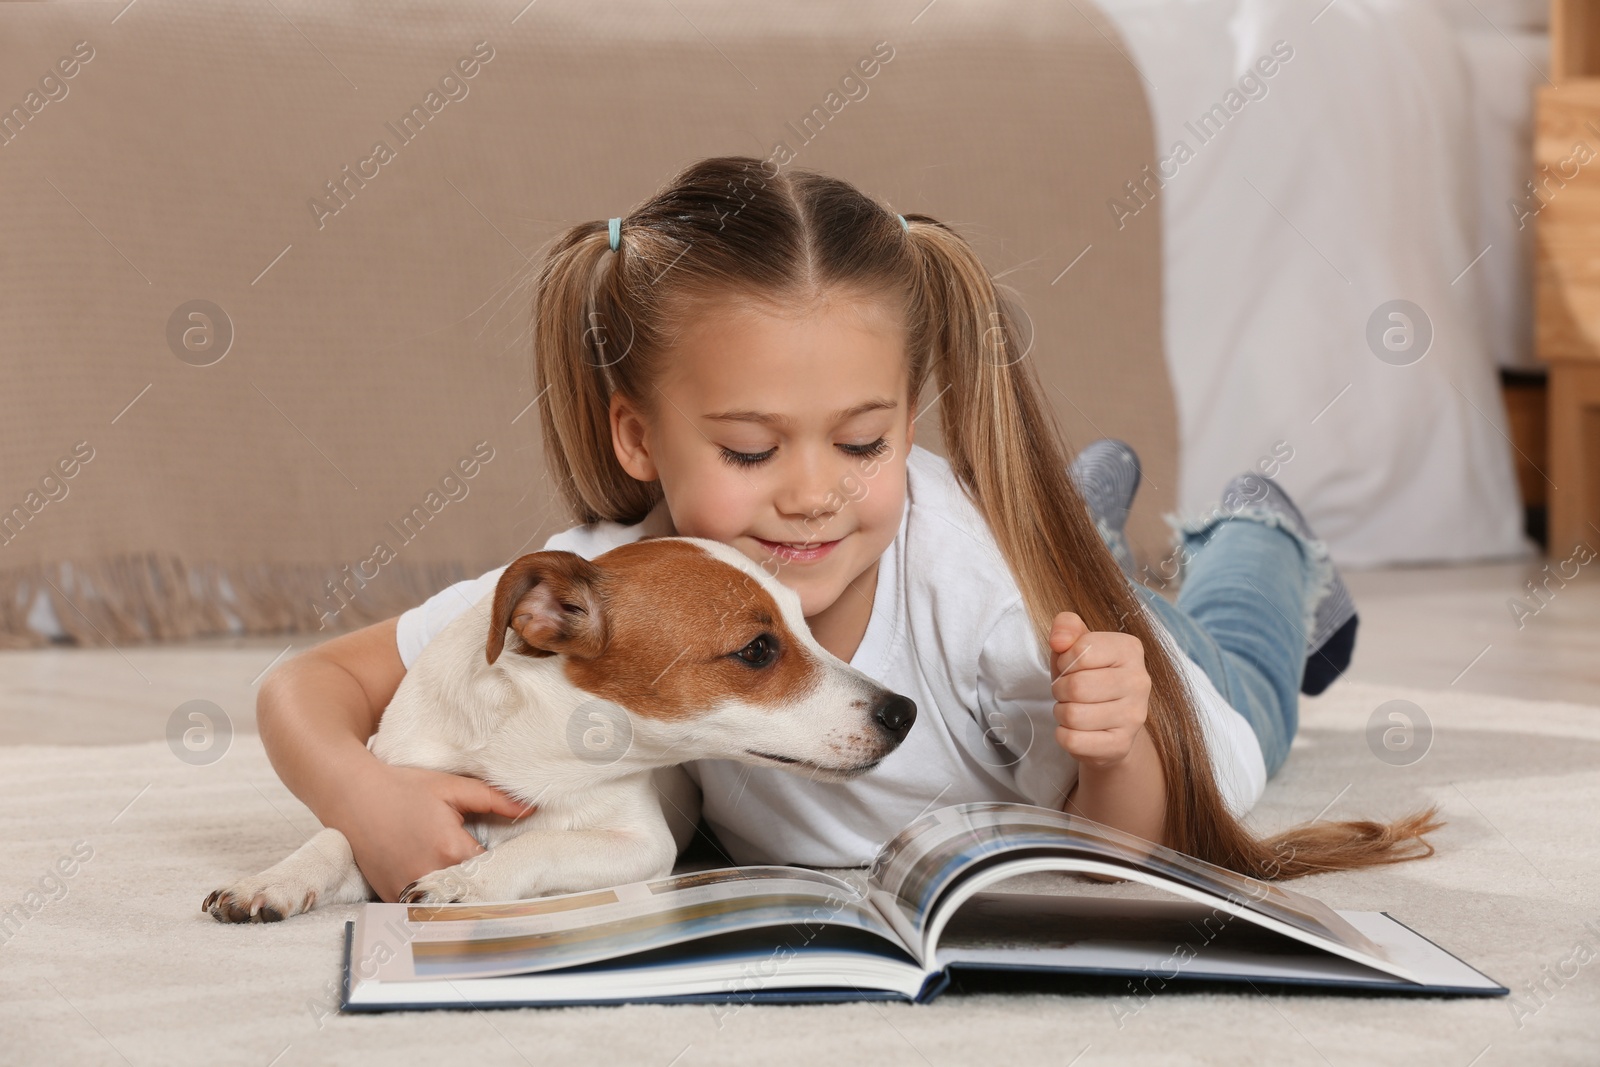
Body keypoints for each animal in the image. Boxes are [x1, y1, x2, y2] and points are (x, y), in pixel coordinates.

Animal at [203, 537, 915, 921]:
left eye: (808, 627)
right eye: (760, 649)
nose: (902, 712)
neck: (528, 748)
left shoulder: (640, 843)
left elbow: (539, 844)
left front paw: (467, 880)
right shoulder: (395, 787)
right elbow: (337, 835)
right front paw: (273, 878)